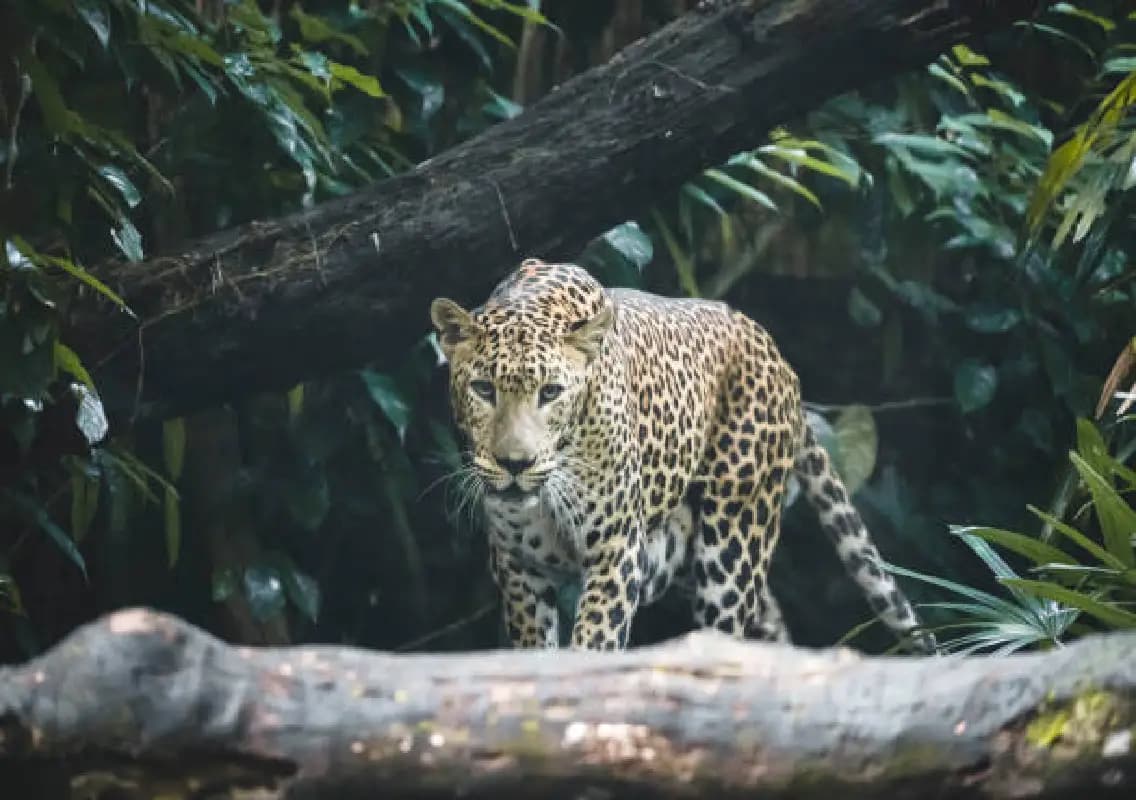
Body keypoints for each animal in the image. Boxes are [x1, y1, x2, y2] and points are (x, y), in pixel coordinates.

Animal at [430, 257, 935, 653]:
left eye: (551, 392)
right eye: (483, 389)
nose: (515, 464)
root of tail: (775, 352)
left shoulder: (615, 552)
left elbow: (594, 643)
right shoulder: (517, 567)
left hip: (732, 547)